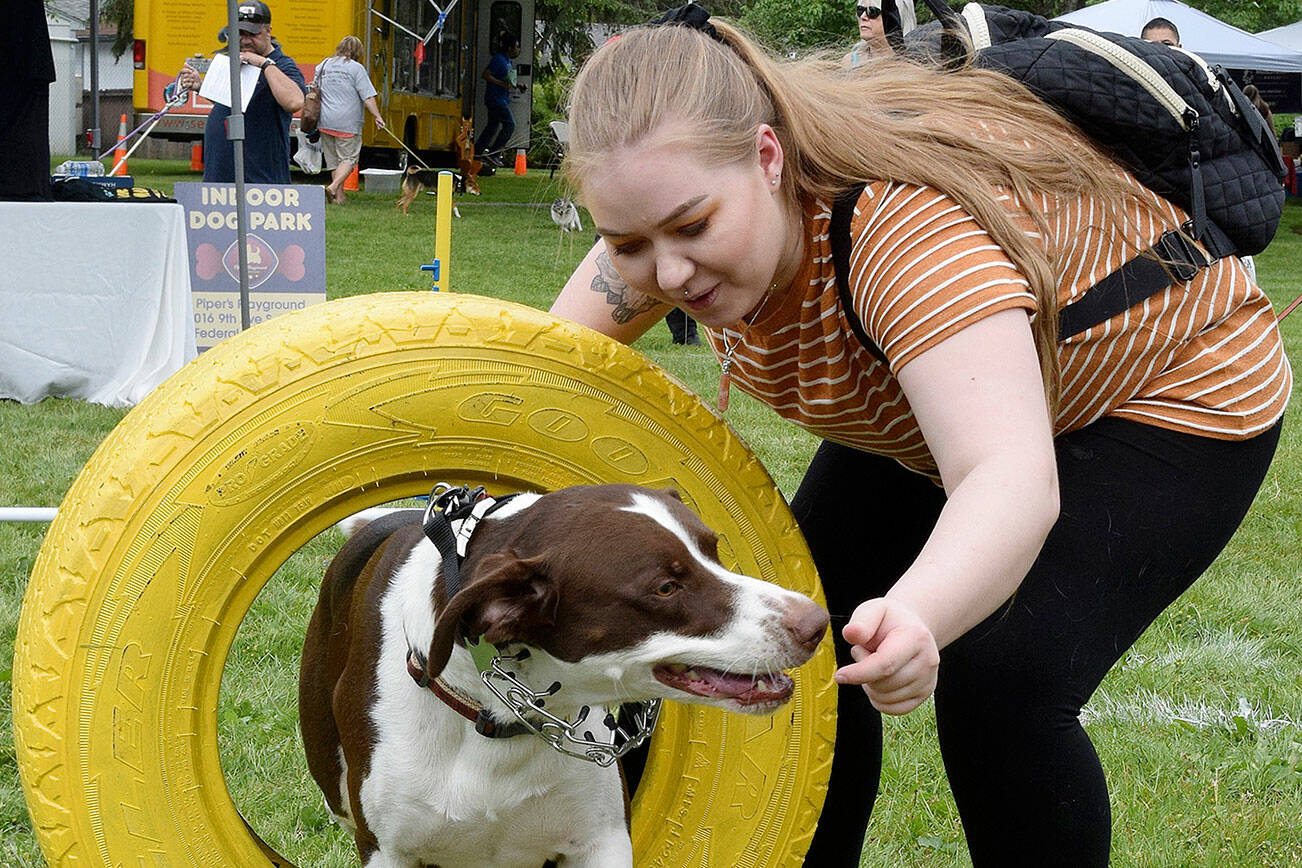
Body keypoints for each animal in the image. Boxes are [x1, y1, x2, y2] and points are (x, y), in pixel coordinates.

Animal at [298, 486, 822, 864]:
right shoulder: (389, 850)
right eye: (665, 587)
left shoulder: (602, 842)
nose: (817, 623)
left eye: (712, 549)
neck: (496, 718)